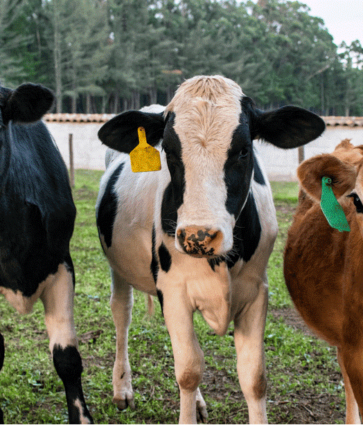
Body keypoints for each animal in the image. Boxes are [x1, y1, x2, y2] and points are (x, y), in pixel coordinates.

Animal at [96, 76, 324, 424]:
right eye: (169, 152)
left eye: (244, 150)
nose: (198, 236)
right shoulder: (173, 291)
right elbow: (188, 371)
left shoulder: (257, 291)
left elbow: (254, 377)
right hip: (118, 268)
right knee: (122, 312)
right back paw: (122, 389)